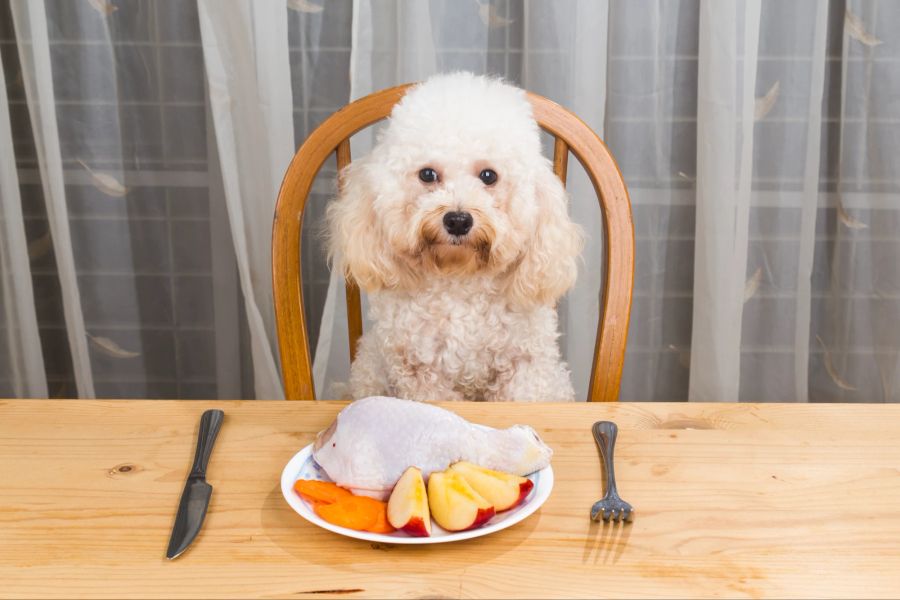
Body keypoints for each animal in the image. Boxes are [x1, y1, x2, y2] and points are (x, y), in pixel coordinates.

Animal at [324, 72, 584, 400]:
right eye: (427, 174)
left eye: (489, 176)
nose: (458, 221)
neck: (460, 280)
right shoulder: (419, 371)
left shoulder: (524, 364)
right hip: (370, 370)